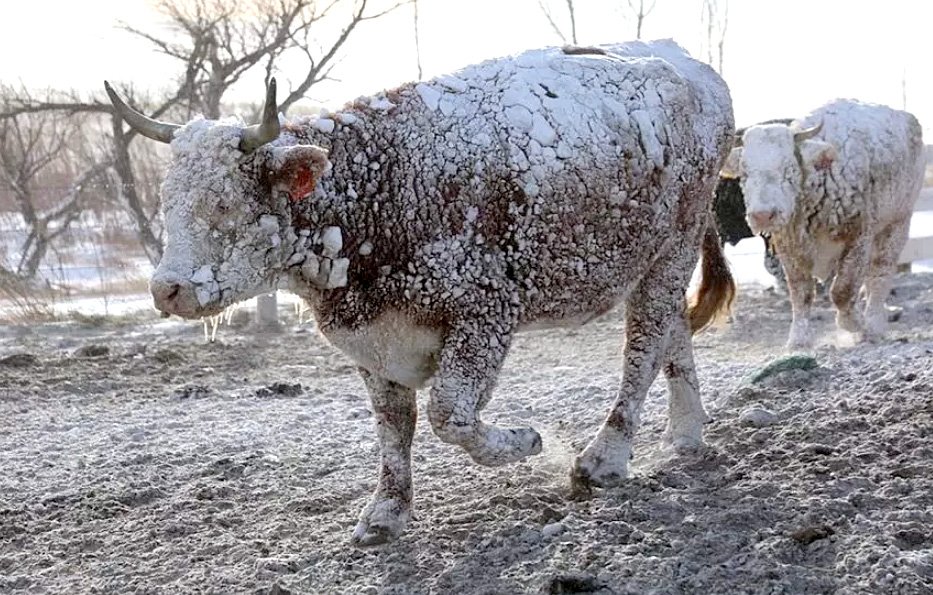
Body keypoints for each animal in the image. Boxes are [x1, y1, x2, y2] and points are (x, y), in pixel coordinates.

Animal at [107, 39, 736, 548]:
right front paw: (386, 512)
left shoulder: (485, 313)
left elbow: (447, 414)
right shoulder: (374, 342)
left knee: (643, 348)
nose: (168, 290)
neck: (376, 190)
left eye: (223, 204)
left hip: (671, 250)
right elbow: (395, 427)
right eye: (168, 202)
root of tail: (691, 67)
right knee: (673, 333)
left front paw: (525, 442)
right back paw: (684, 435)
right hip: (655, 260)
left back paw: (605, 458)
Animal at [720, 98, 924, 350]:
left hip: (897, 222)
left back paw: (874, 324)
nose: (763, 215)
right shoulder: (790, 249)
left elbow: (843, 291)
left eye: (789, 169)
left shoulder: (859, 238)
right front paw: (798, 339)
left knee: (880, 273)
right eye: (745, 174)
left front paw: (855, 324)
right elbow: (801, 294)